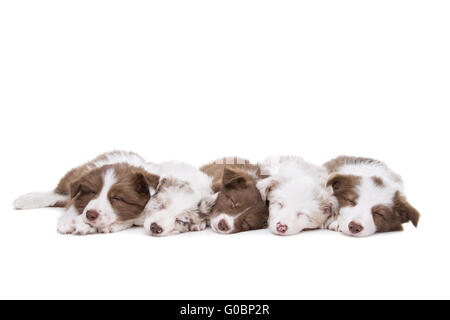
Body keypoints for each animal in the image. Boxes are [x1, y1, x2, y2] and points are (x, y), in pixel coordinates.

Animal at [13, 151, 158, 234]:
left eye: (117, 198)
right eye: (92, 192)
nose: (90, 215)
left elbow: (135, 218)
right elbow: (73, 205)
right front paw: (72, 223)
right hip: (74, 174)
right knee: (56, 193)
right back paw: (25, 200)